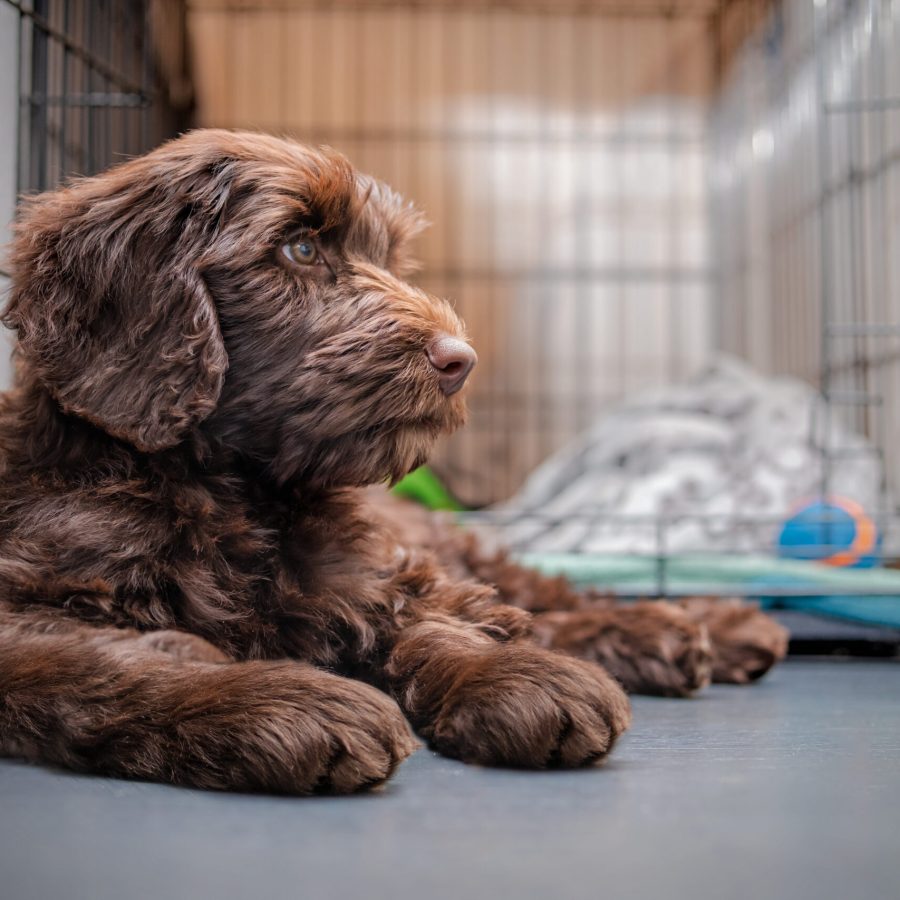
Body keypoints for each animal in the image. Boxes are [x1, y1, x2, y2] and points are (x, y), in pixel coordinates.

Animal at [0, 128, 780, 796]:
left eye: (389, 259)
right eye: (300, 249)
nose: (461, 361)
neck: (230, 489)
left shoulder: (369, 569)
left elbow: (429, 619)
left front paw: (508, 674)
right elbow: (110, 659)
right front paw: (280, 703)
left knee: (545, 596)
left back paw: (699, 626)